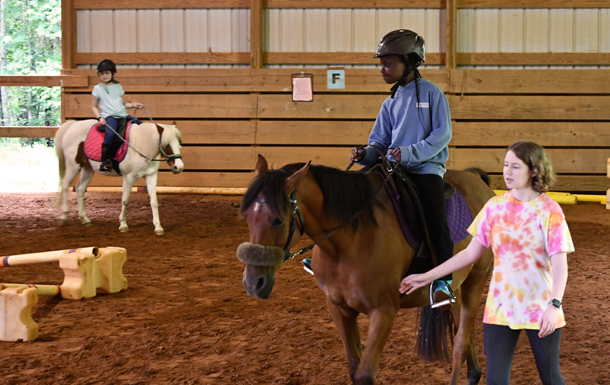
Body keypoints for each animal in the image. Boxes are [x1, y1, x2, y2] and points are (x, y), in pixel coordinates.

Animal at [54, 120, 183, 234]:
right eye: (167, 144)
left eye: (180, 144)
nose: (179, 167)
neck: (142, 145)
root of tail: (72, 125)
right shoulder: (128, 178)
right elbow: (125, 201)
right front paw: (123, 225)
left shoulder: (151, 176)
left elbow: (154, 201)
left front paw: (158, 227)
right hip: (73, 166)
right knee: (65, 185)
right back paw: (64, 217)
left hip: (88, 169)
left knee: (80, 189)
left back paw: (85, 219)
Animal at [236, 155, 494, 384]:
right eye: (246, 216)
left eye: (278, 220)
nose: (253, 283)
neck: (347, 243)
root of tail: (475, 178)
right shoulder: (339, 308)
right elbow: (354, 368)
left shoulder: (383, 312)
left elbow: (363, 375)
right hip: (456, 289)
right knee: (463, 333)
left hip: (476, 281)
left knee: (460, 343)